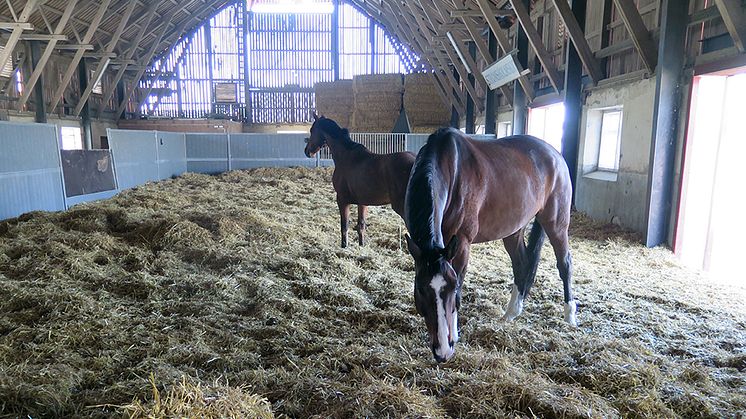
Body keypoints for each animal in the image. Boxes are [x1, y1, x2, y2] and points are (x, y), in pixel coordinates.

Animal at [306, 113, 416, 248]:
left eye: (312, 130)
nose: (307, 151)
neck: (346, 155)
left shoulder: (342, 200)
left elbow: (344, 226)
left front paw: (344, 246)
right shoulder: (363, 202)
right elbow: (361, 226)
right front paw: (361, 245)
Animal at [402, 129, 576, 364]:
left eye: (451, 287)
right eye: (420, 289)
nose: (442, 352)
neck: (450, 171)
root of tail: (555, 155)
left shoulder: (461, 244)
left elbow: (460, 284)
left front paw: (454, 335)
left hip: (556, 223)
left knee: (564, 263)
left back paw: (570, 316)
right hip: (514, 230)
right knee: (521, 263)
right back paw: (511, 312)